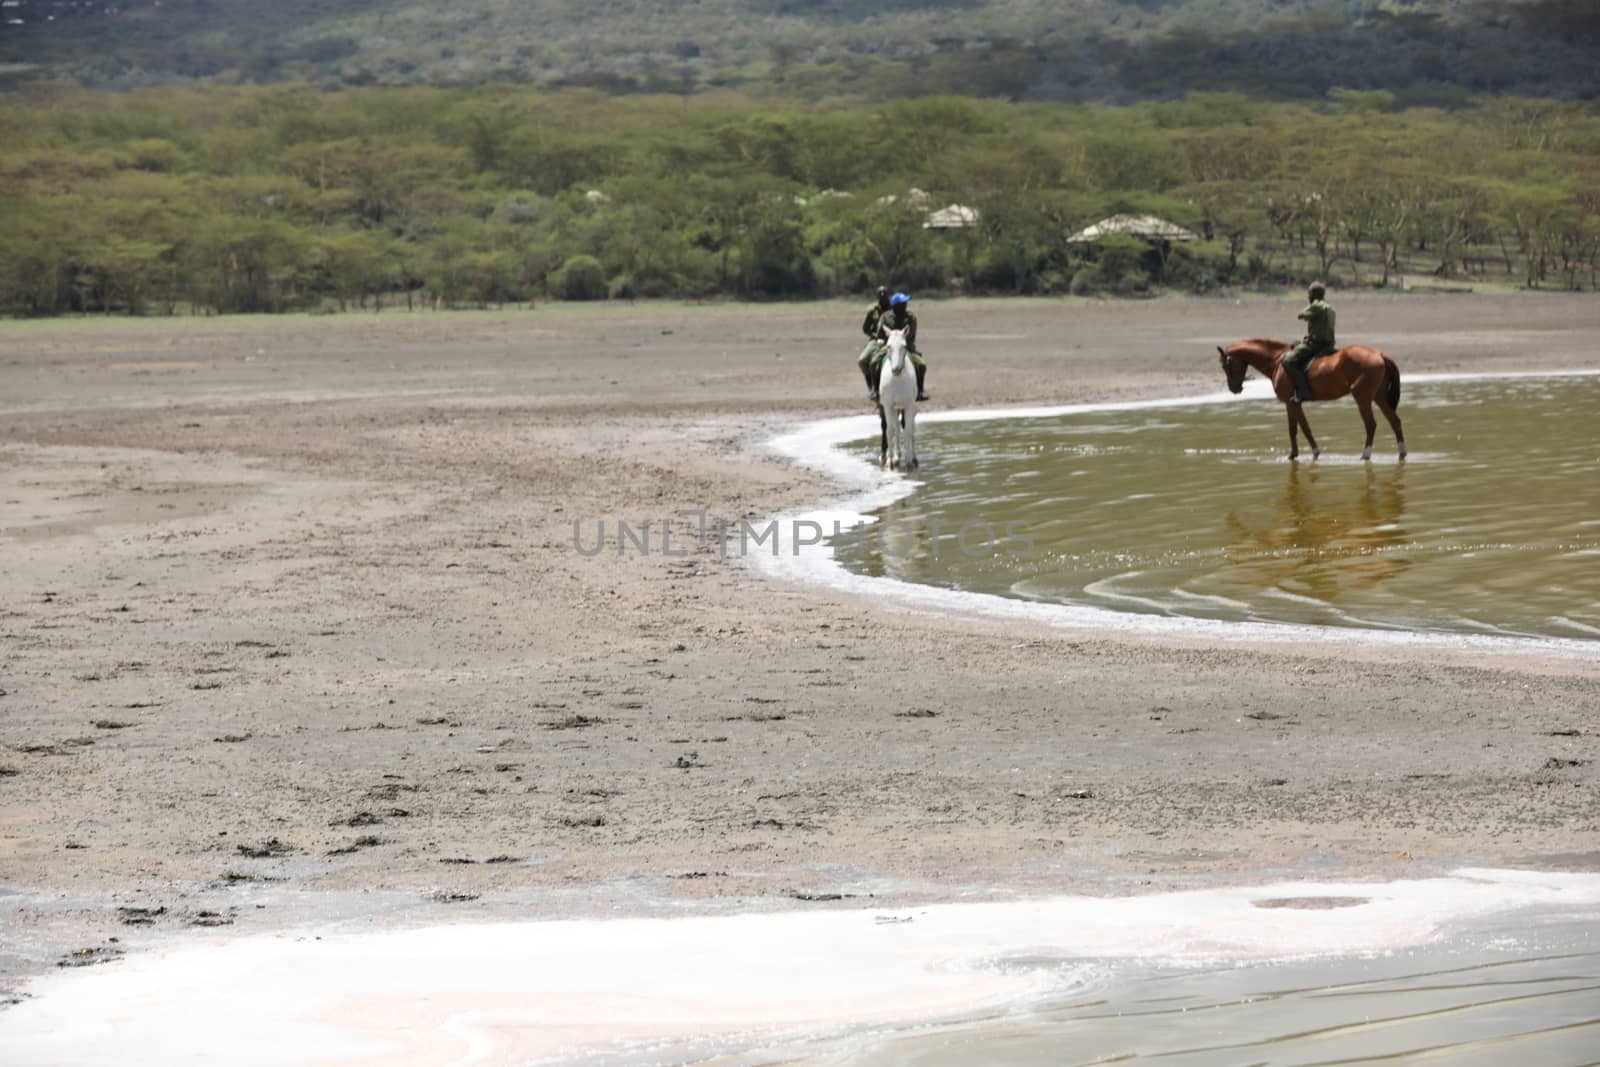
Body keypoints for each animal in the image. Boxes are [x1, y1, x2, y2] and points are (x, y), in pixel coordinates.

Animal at [883, 329, 921, 470]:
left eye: (904, 346)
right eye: (888, 346)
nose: (896, 370)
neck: (898, 380)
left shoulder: (909, 405)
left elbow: (908, 431)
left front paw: (909, 461)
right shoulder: (888, 406)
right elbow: (890, 430)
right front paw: (890, 462)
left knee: (910, 428)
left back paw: (913, 458)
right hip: (894, 408)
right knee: (896, 428)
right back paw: (896, 457)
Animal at [1216, 340, 1408, 460]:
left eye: (1226, 365)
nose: (1234, 388)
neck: (1277, 361)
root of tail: (1380, 354)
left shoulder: (1291, 403)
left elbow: (1300, 428)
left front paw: (1309, 453)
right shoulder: (1293, 403)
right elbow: (1298, 428)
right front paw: (1298, 454)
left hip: (1362, 398)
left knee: (1370, 424)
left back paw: (1365, 455)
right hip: (1379, 397)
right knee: (1395, 421)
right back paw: (1402, 454)